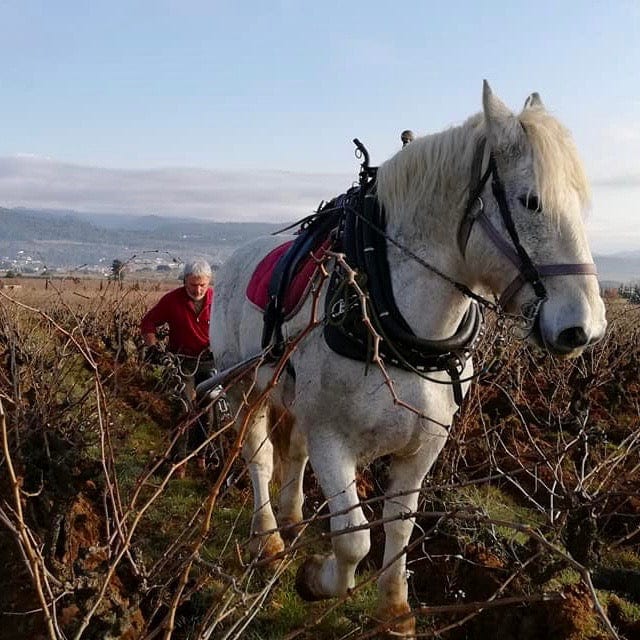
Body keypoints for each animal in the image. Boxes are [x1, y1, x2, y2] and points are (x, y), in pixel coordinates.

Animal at [209, 82, 604, 636]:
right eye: (531, 201)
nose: (584, 327)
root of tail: (231, 262)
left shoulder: (424, 445)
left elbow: (400, 526)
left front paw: (395, 610)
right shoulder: (334, 439)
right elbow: (354, 538)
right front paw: (315, 579)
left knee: (294, 452)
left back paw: (291, 516)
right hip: (245, 388)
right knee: (259, 456)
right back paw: (267, 538)